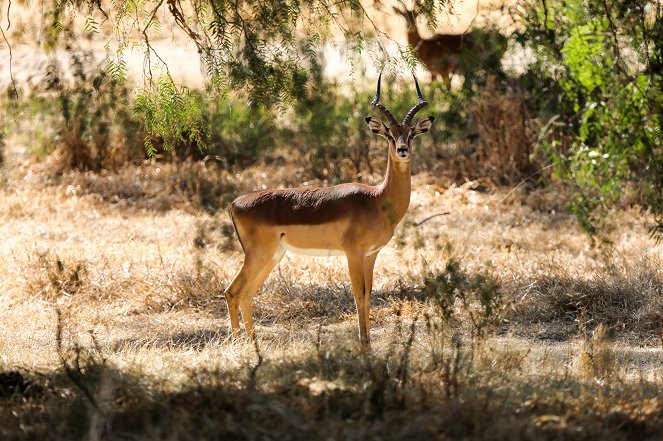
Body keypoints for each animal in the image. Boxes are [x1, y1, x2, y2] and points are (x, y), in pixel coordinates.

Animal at [223, 74, 436, 346]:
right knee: (232, 292)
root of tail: (235, 203)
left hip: (272, 256)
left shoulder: (371, 254)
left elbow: (368, 296)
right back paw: (240, 341)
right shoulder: (353, 253)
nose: (402, 150)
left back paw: (252, 341)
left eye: (411, 134)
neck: (377, 199)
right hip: (258, 255)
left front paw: (368, 341)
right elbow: (358, 295)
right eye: (389, 134)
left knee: (247, 293)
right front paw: (363, 343)